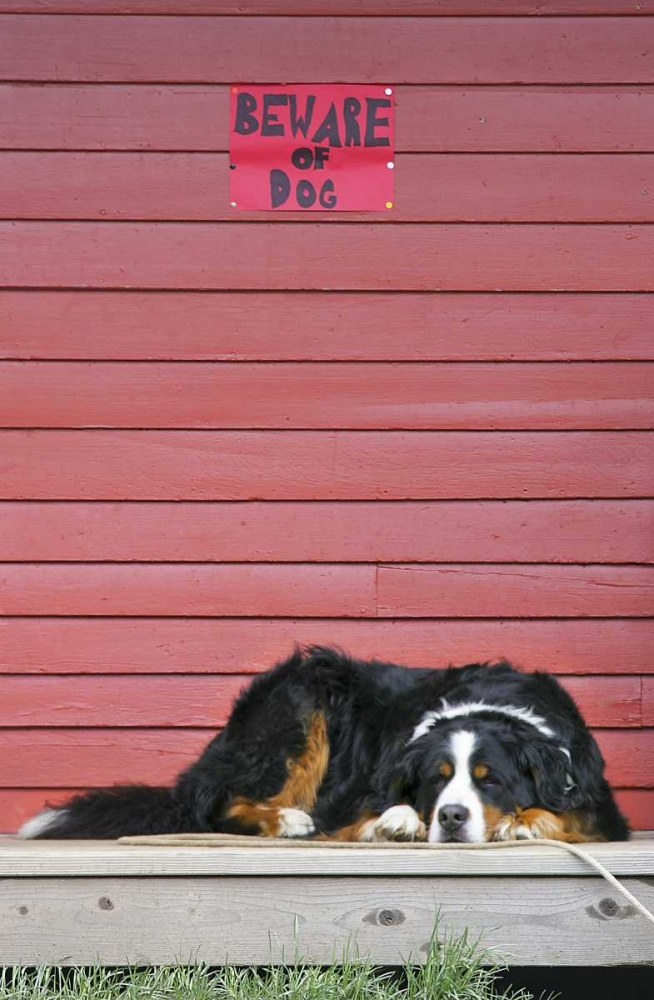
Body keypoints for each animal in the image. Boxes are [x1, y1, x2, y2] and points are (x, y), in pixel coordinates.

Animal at [19, 648, 632, 844]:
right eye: (436, 780)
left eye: (492, 780)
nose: (451, 818)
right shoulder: (354, 794)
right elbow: (369, 812)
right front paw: (398, 820)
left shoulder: (598, 799)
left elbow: (571, 813)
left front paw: (525, 822)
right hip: (306, 698)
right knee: (219, 805)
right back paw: (287, 820)